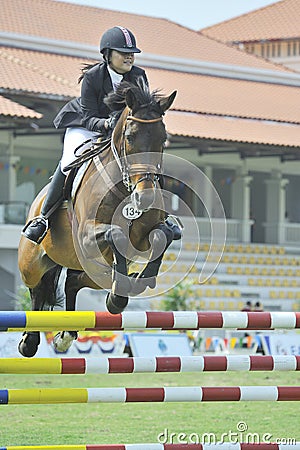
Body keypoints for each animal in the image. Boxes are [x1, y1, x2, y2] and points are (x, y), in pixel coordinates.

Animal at [17, 79, 177, 356]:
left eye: (163, 139)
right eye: (130, 137)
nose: (145, 198)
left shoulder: (144, 234)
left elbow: (163, 235)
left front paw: (138, 281)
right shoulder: (87, 235)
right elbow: (116, 233)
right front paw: (118, 298)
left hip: (91, 271)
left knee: (72, 282)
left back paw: (66, 335)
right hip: (31, 264)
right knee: (37, 289)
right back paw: (29, 342)